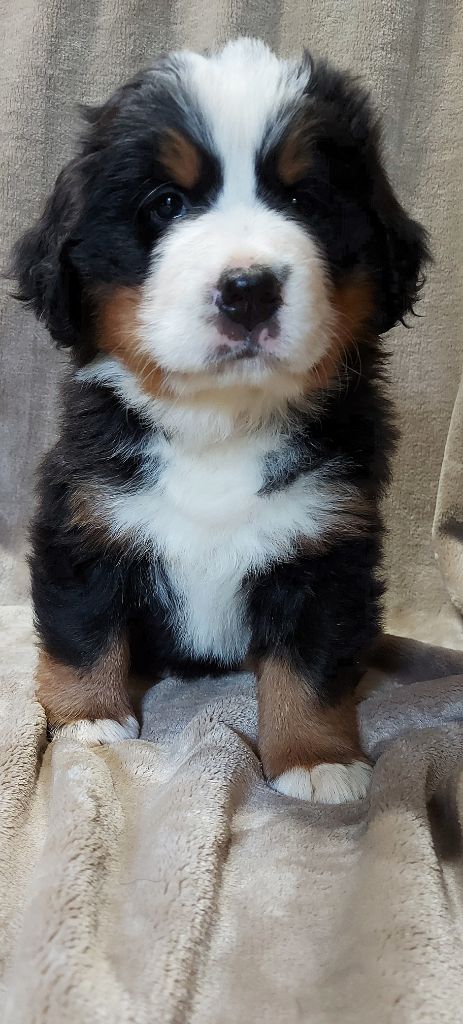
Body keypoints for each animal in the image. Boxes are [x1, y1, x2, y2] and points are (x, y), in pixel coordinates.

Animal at [14, 38, 428, 803]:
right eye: (166, 203)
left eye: (303, 200)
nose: (248, 289)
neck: (219, 424)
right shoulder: (84, 515)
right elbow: (83, 626)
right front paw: (87, 719)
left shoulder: (327, 544)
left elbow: (312, 664)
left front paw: (316, 758)